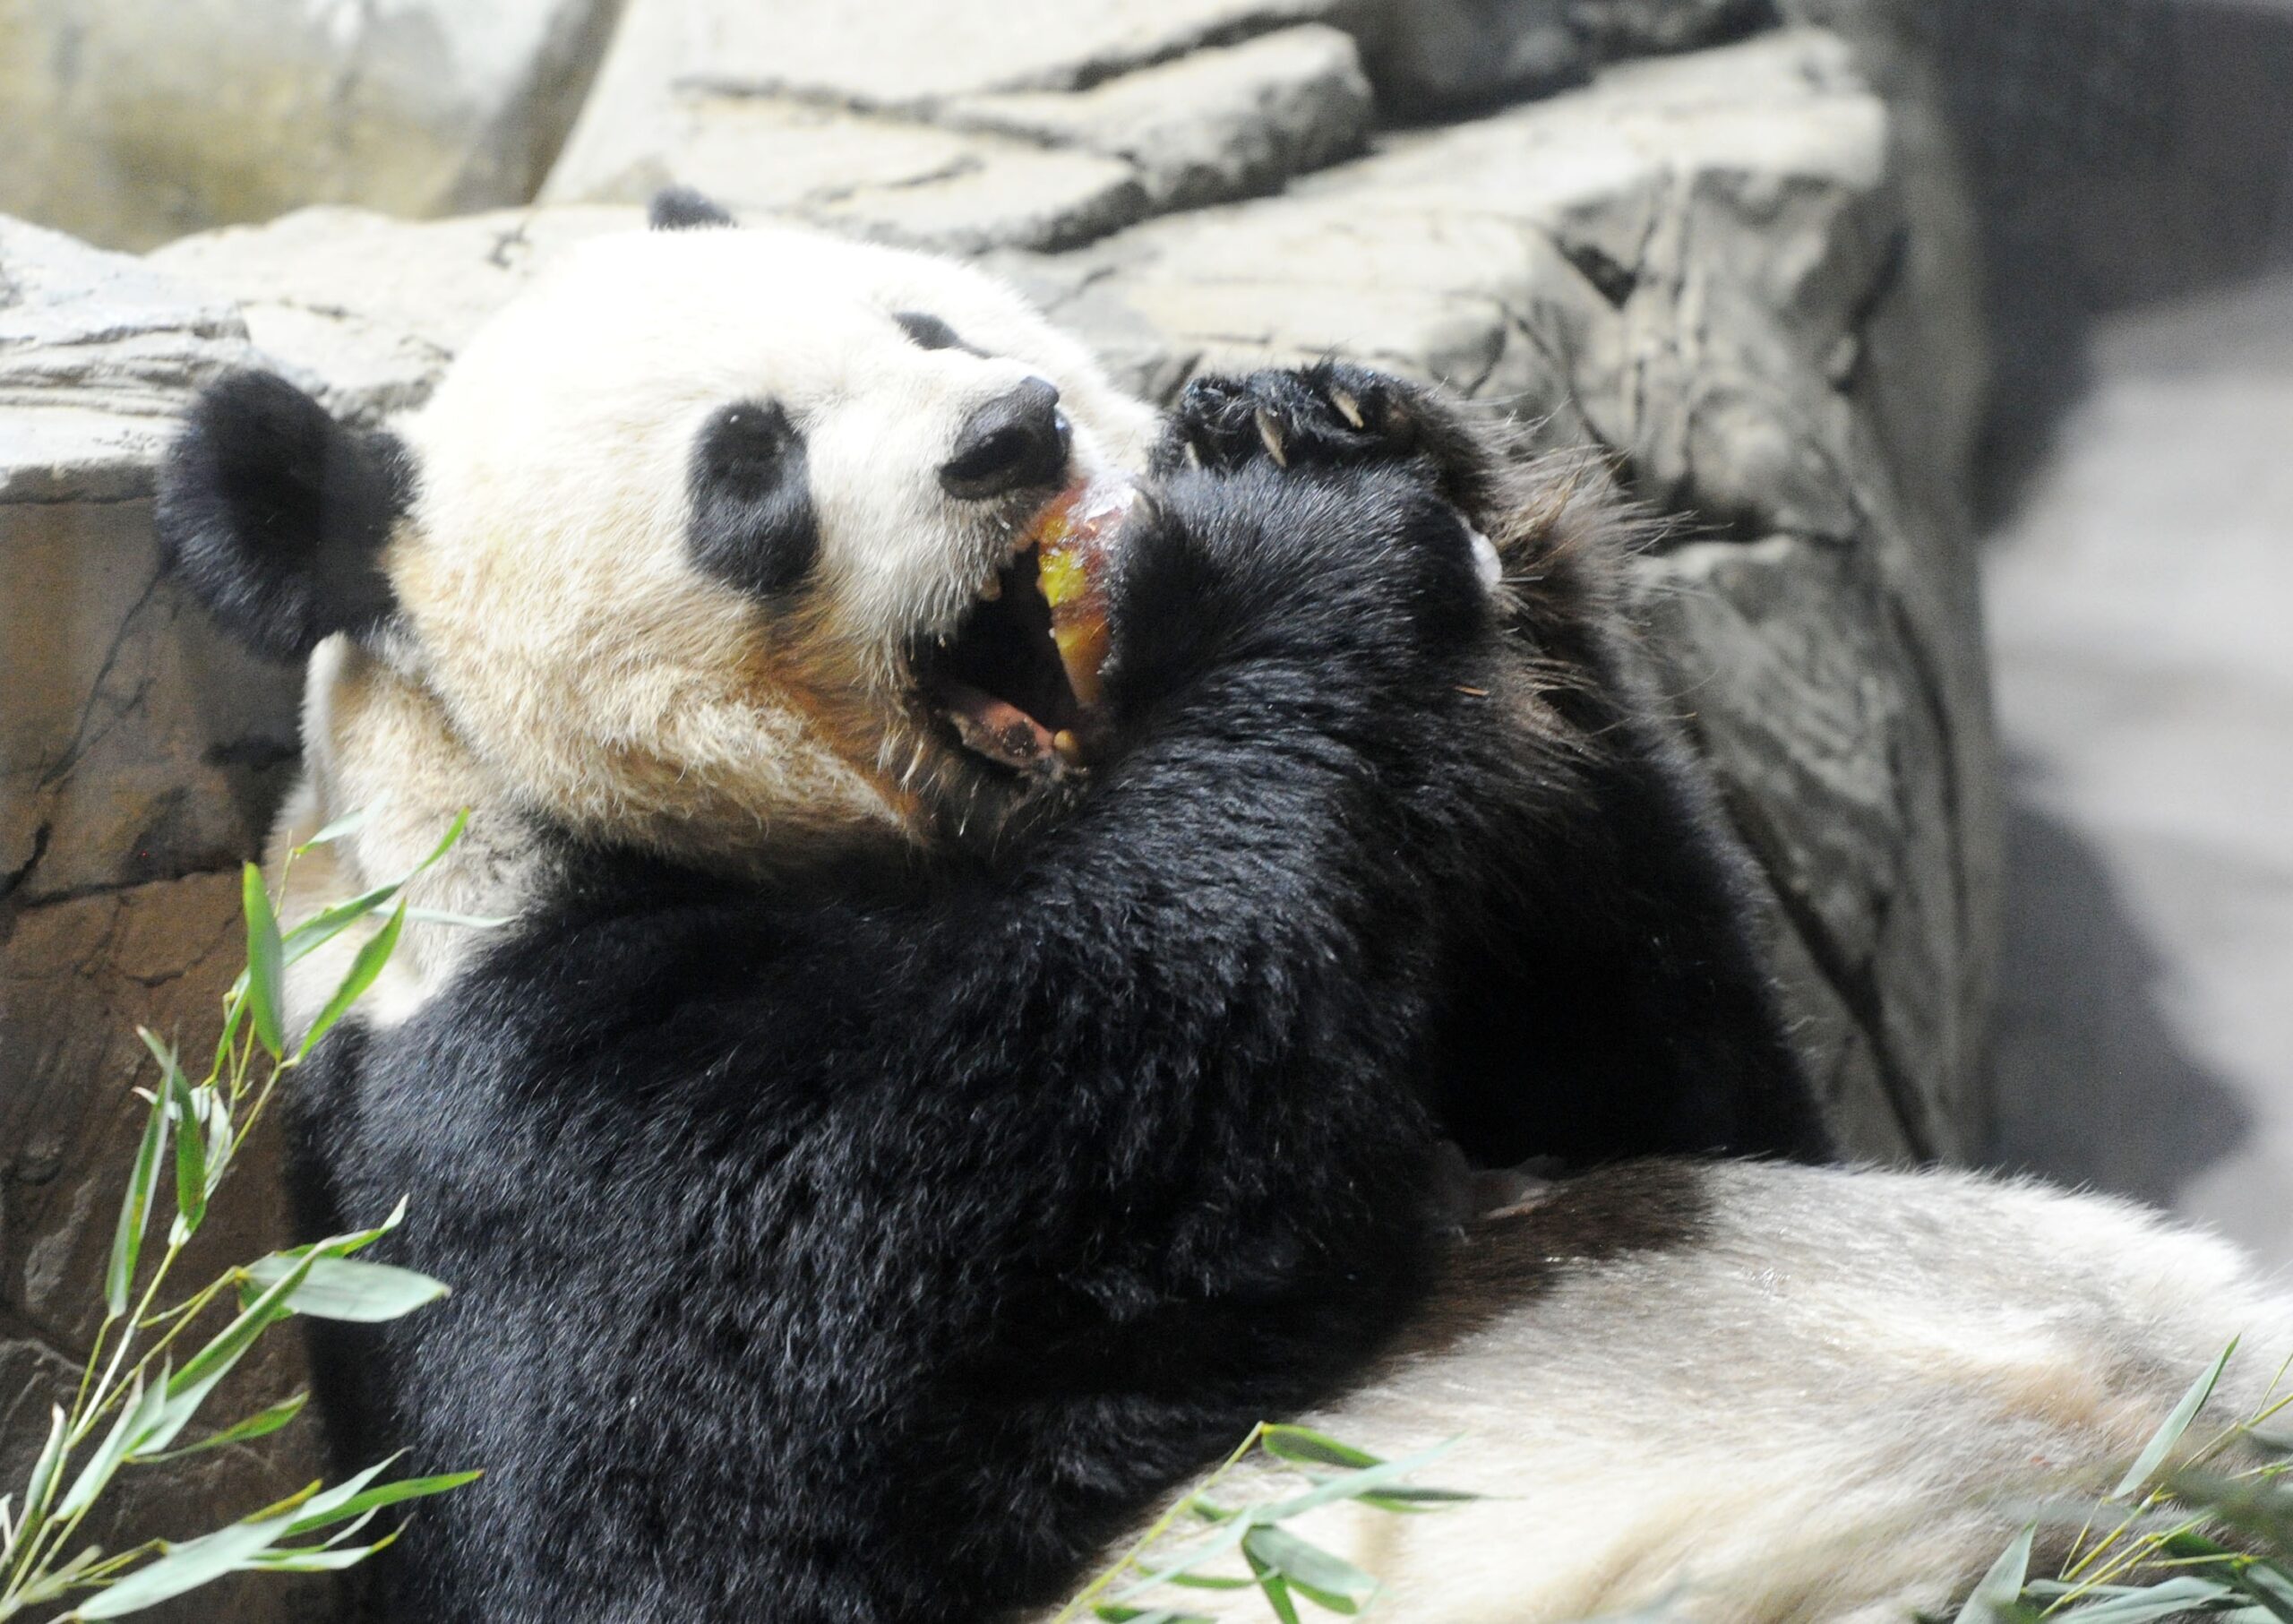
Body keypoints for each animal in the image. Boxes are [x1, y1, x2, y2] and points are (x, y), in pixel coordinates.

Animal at [152, 191, 2284, 1623]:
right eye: (746, 463)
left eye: (926, 316)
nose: (1007, 431)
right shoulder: (534, 1106)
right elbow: (686, 1513)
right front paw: (1283, 558)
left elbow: (1684, 1104)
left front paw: (1343, 423)